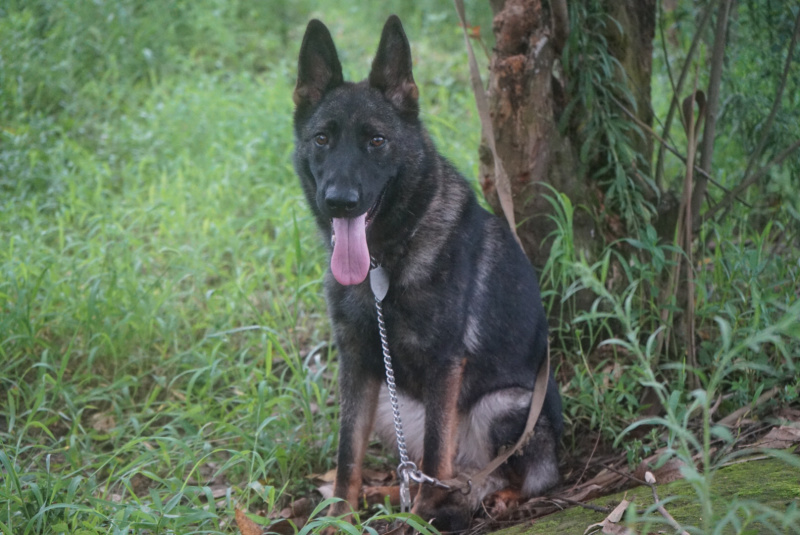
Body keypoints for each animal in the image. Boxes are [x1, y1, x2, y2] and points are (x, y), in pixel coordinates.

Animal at [292, 15, 564, 532]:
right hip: (387, 401)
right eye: (322, 139)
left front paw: (422, 518)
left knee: (513, 476)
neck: (383, 264)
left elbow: (438, 449)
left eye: (377, 141)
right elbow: (347, 454)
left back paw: (487, 497)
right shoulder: (357, 365)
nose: (339, 201)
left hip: (505, 405)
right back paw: (393, 492)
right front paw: (339, 517)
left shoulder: (444, 365)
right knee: (425, 467)